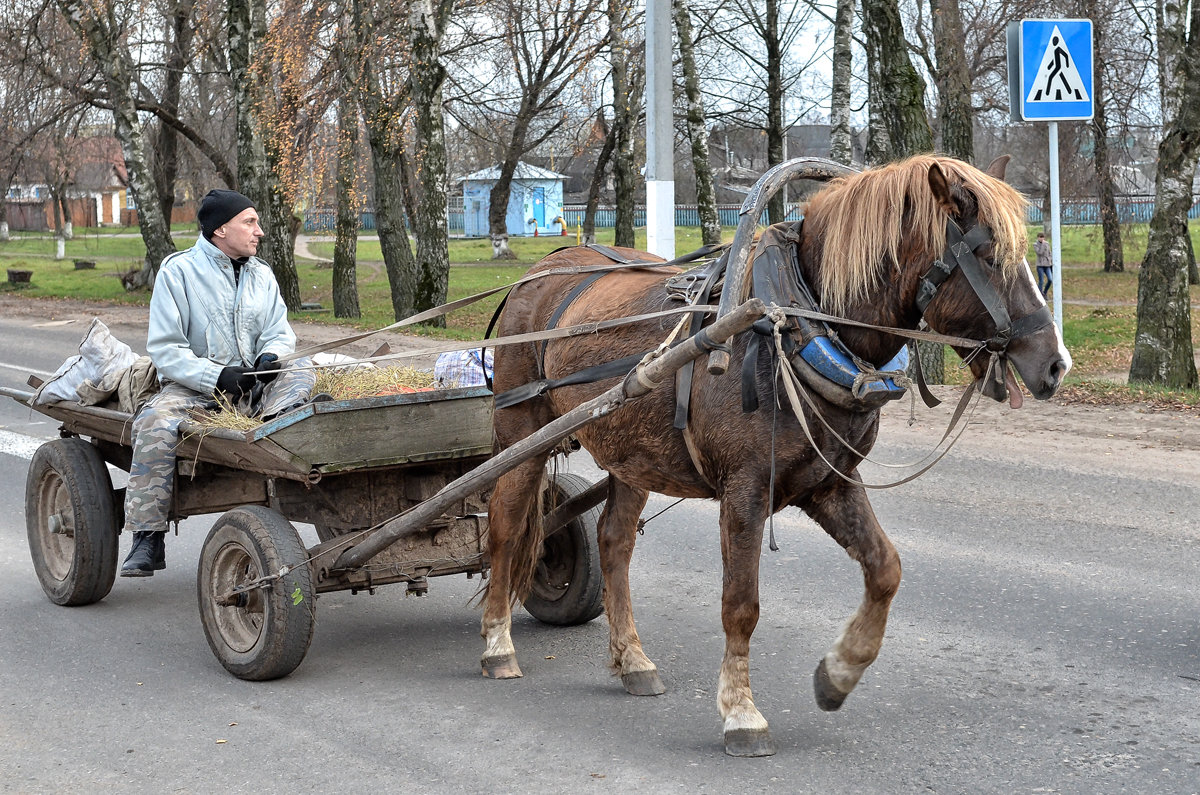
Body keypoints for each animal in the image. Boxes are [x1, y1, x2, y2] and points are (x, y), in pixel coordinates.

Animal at [475, 152, 1070, 758]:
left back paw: (633, 660)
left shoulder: (830, 483)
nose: (1055, 364)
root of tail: (543, 271)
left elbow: (885, 569)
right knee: (505, 527)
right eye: (988, 255)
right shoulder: (744, 492)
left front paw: (838, 674)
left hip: (631, 454)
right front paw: (742, 712)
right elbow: (741, 604)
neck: (794, 325)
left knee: (614, 543)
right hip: (523, 433)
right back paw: (498, 645)